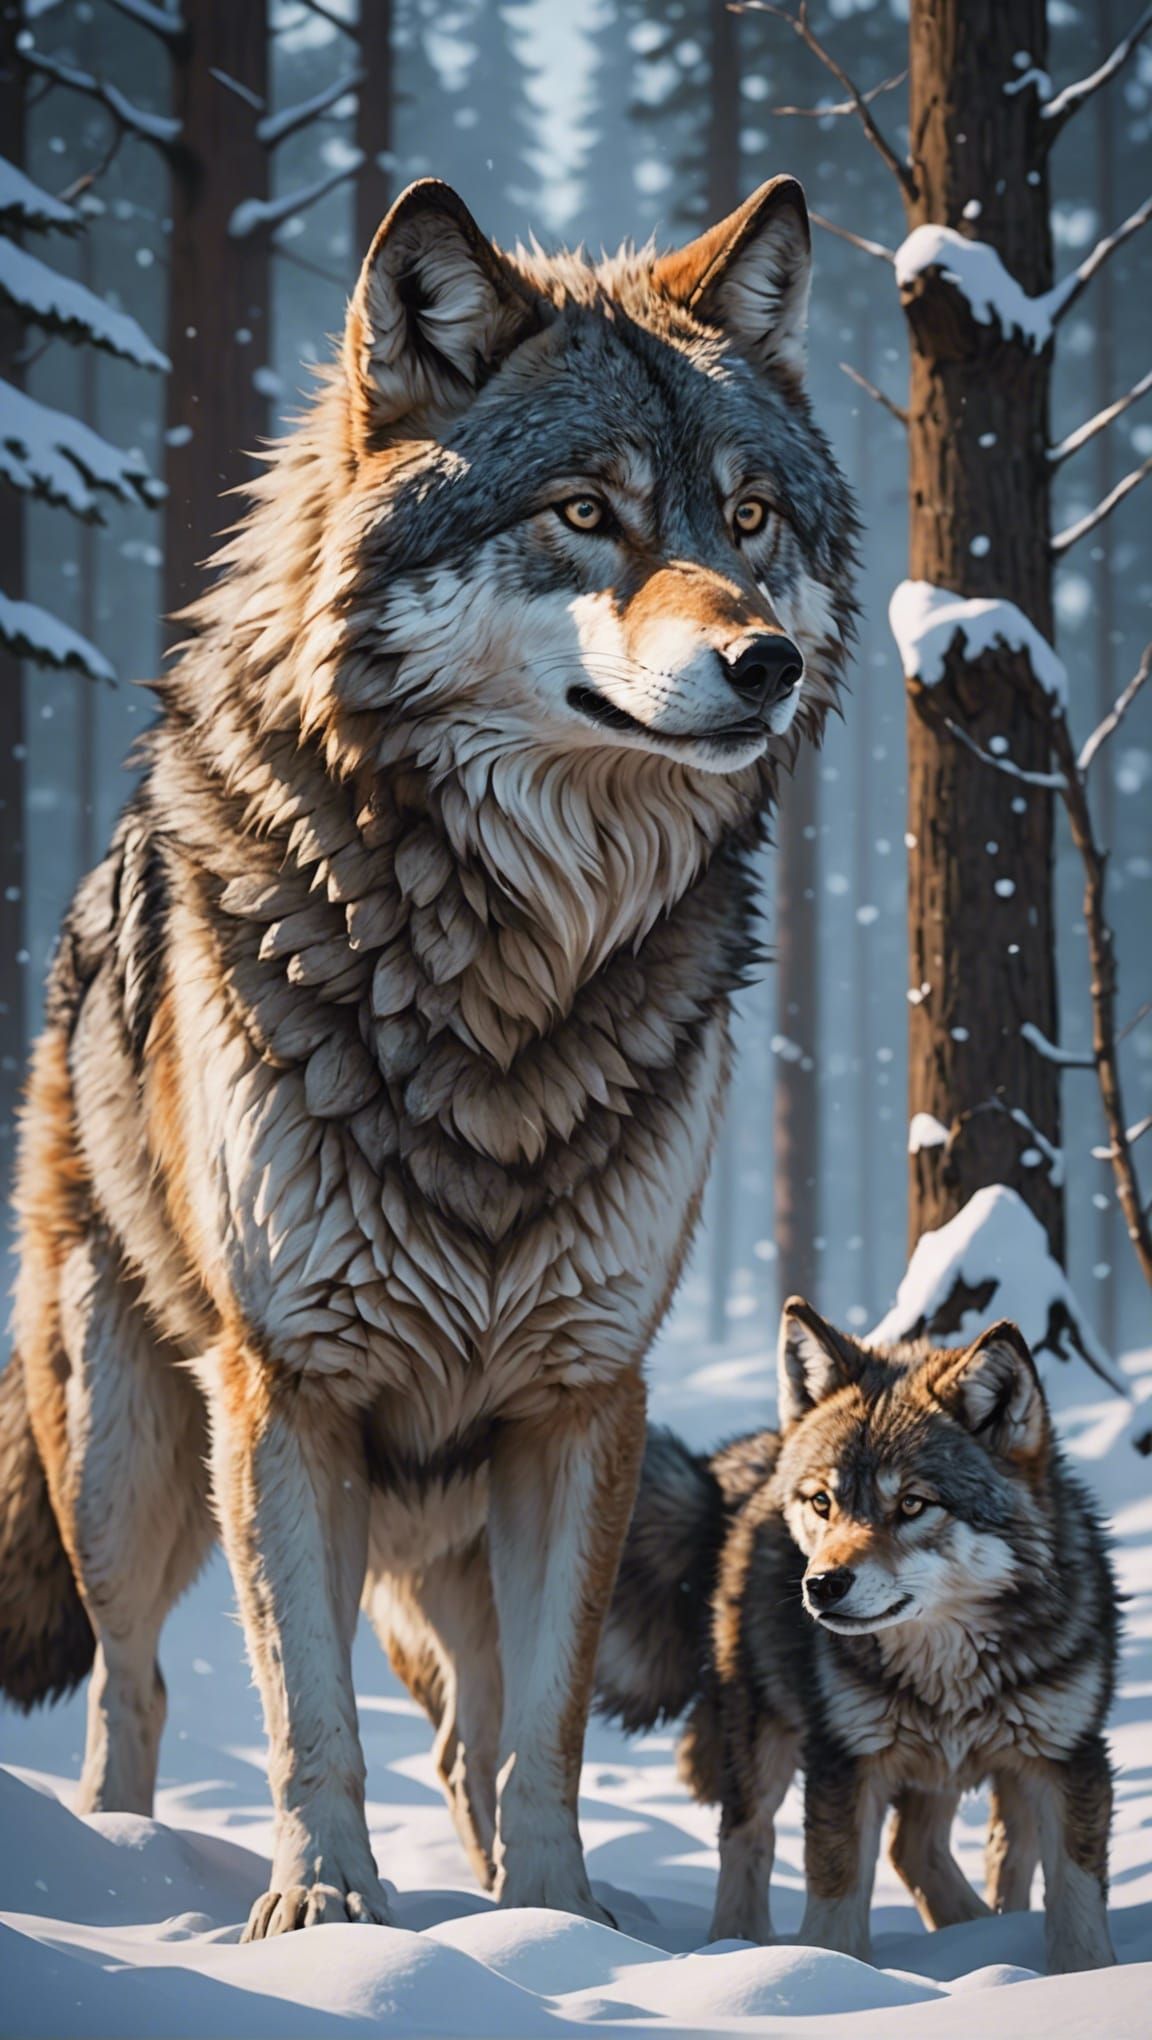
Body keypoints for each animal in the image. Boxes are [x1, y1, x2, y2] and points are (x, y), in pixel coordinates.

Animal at [0, 174, 855, 1938]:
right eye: (588, 512)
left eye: (749, 521)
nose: (768, 664)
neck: (505, 972)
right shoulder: (288, 1391)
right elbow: (302, 1713)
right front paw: (327, 1911)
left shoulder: (583, 1398)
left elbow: (545, 1734)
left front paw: (558, 1925)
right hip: (127, 1457)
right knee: (133, 1689)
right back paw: (120, 1857)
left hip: (446, 1524)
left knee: (466, 1729)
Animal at [596, 1300, 1118, 1973]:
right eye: (824, 1502)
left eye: (914, 1504)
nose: (821, 1585)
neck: (950, 1667)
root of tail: (756, 1458)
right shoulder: (846, 1761)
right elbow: (836, 1896)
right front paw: (829, 1973)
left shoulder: (1068, 1758)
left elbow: (1077, 1899)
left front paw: (1075, 1976)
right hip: (764, 1735)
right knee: (747, 1835)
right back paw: (737, 1948)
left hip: (974, 1769)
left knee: (921, 1846)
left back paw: (982, 1932)